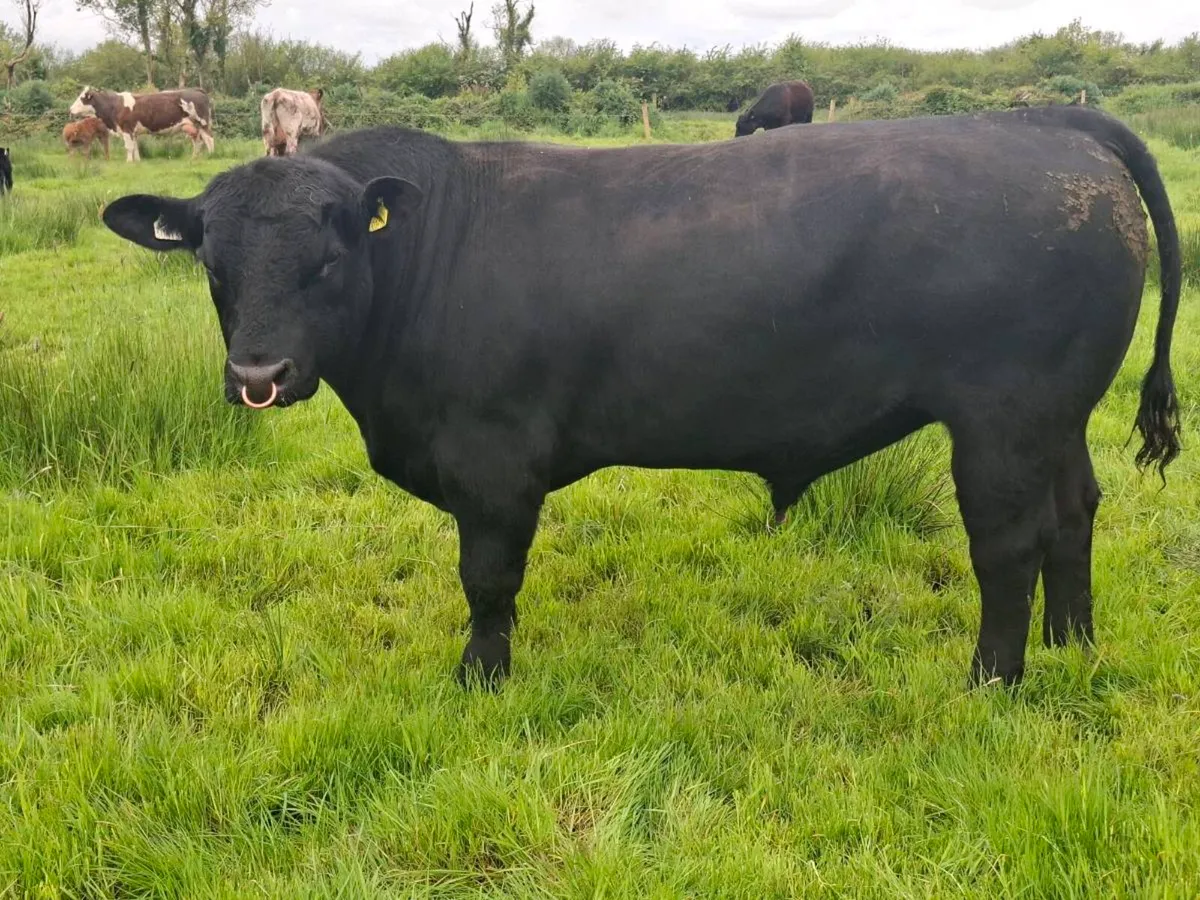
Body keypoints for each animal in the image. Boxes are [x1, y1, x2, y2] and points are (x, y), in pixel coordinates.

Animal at [69, 86, 215, 162]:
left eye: (82, 98)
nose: (70, 109)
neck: (114, 106)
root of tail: (196, 90)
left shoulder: (127, 129)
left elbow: (129, 147)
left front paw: (129, 162)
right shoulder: (133, 132)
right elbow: (135, 147)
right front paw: (137, 161)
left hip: (202, 122)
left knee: (209, 139)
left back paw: (211, 155)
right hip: (192, 126)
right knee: (198, 141)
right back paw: (194, 158)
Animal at [100, 107, 1182, 691]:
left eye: (326, 260)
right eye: (212, 265)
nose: (260, 379)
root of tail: (1041, 118)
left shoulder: (494, 460)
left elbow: (487, 578)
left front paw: (480, 678)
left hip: (1002, 420)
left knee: (1007, 543)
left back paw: (994, 677)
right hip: (1056, 415)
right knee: (1074, 514)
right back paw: (1073, 644)